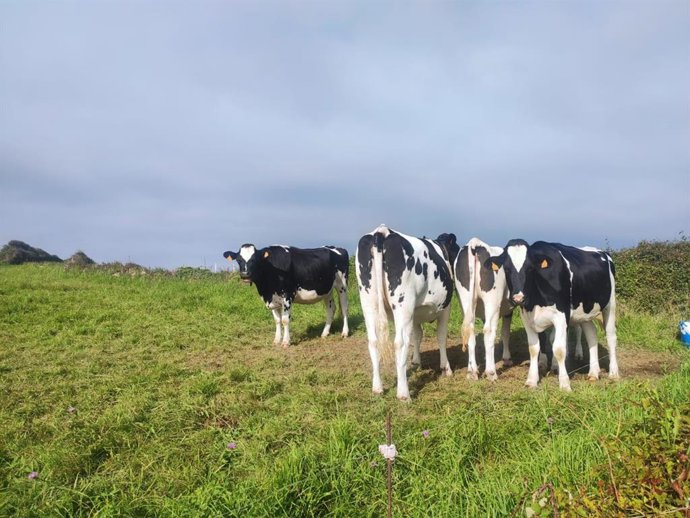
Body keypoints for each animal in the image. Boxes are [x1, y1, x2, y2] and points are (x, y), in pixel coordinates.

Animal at [356, 225, 459, 401]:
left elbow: (417, 336)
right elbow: (441, 336)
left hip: (368, 301)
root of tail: (383, 231)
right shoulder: (446, 308)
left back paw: (377, 388)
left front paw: (416, 362)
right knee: (400, 343)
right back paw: (403, 393)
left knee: (373, 341)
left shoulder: (415, 314)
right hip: (403, 304)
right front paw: (446, 368)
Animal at [454, 238, 516, 381]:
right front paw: (506, 358)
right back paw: (491, 372)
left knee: (470, 330)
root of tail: (475, 243)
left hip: (465, 299)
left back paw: (472, 372)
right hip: (492, 302)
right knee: (489, 331)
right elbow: (505, 333)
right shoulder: (508, 310)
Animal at [490, 239, 620, 391]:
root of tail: (602, 252)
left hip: (610, 304)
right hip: (585, 311)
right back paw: (593, 373)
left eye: (530, 269)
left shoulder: (561, 316)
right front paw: (532, 380)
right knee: (591, 334)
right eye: (507, 269)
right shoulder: (527, 318)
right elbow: (533, 348)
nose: (518, 298)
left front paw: (564, 384)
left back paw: (613, 373)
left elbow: (558, 349)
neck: (536, 300)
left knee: (611, 336)